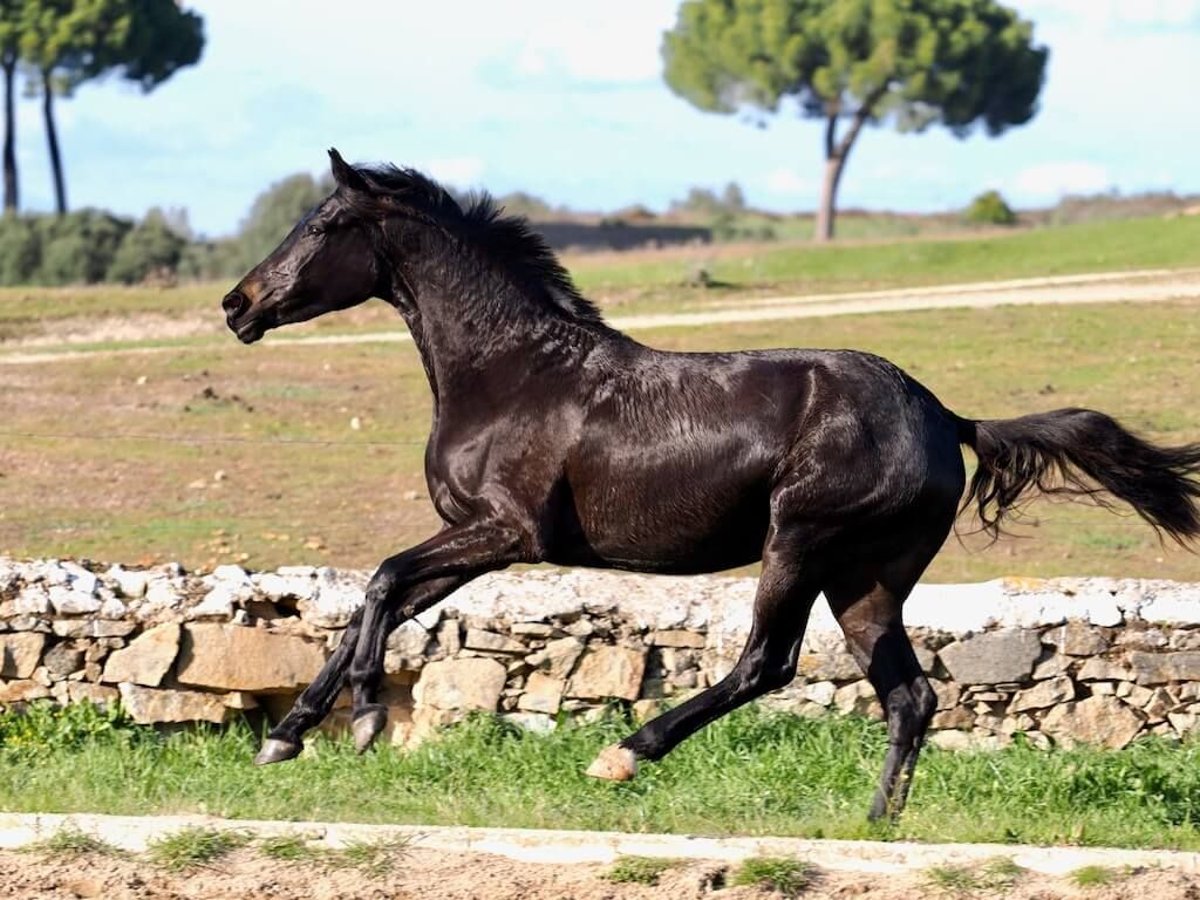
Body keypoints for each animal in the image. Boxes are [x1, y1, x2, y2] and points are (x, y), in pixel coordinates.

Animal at [223, 150, 1200, 825]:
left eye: (322, 224)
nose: (237, 305)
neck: (511, 373)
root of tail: (944, 416)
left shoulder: (506, 533)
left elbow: (384, 580)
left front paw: (361, 719)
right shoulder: (473, 542)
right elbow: (375, 597)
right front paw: (287, 733)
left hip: (800, 542)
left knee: (766, 663)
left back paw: (623, 755)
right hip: (866, 577)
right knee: (909, 696)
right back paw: (877, 823)